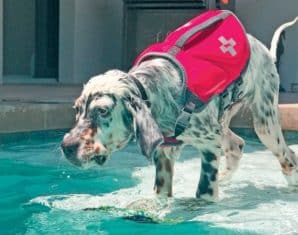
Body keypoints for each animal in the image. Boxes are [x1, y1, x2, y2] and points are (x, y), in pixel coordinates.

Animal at [61, 12, 298, 202]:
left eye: (102, 111)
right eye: (77, 110)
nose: (67, 147)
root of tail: (264, 50)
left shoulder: (209, 143)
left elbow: (203, 193)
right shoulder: (165, 154)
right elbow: (161, 194)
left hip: (264, 124)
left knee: (287, 159)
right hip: (224, 124)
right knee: (240, 145)